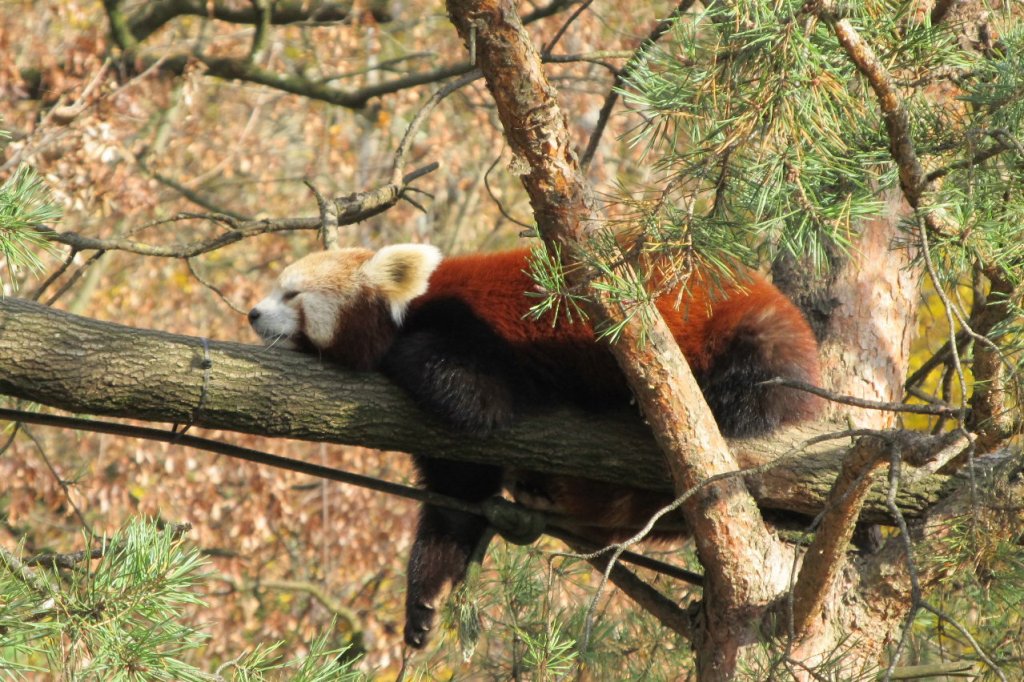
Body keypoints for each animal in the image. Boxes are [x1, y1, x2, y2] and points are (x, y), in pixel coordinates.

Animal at [249, 244, 821, 648]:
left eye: (292, 295)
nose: (253, 312)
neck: (411, 308)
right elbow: (457, 499)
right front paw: (425, 598)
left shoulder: (474, 334)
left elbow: (474, 399)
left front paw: (398, 355)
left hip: (741, 332)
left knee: (749, 385)